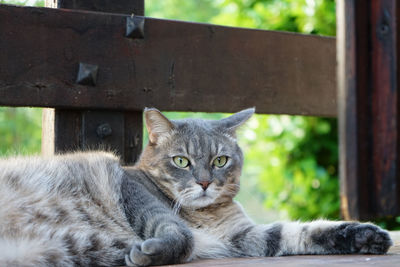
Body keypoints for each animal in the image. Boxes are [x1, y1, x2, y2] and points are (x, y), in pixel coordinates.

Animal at [0, 108, 394, 266]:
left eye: (220, 161)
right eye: (181, 161)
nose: (205, 182)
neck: (205, 216)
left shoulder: (241, 238)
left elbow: (299, 232)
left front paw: (367, 236)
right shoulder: (134, 193)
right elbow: (180, 234)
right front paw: (150, 252)